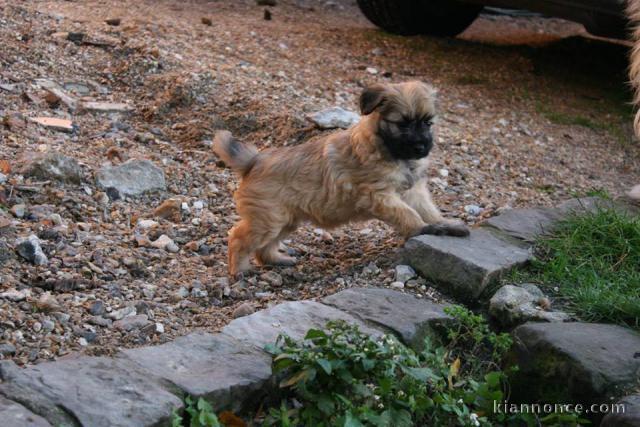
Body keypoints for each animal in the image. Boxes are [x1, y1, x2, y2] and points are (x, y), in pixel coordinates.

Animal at [215, 81, 470, 278]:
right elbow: (407, 214)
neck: (389, 150)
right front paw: (421, 228)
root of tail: (254, 161)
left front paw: (444, 225)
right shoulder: (379, 195)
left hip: (286, 220)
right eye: (402, 124)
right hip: (267, 220)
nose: (421, 147)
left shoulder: (413, 191)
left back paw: (278, 260)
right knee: (237, 238)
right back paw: (239, 271)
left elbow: (428, 210)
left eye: (427, 122)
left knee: (263, 248)